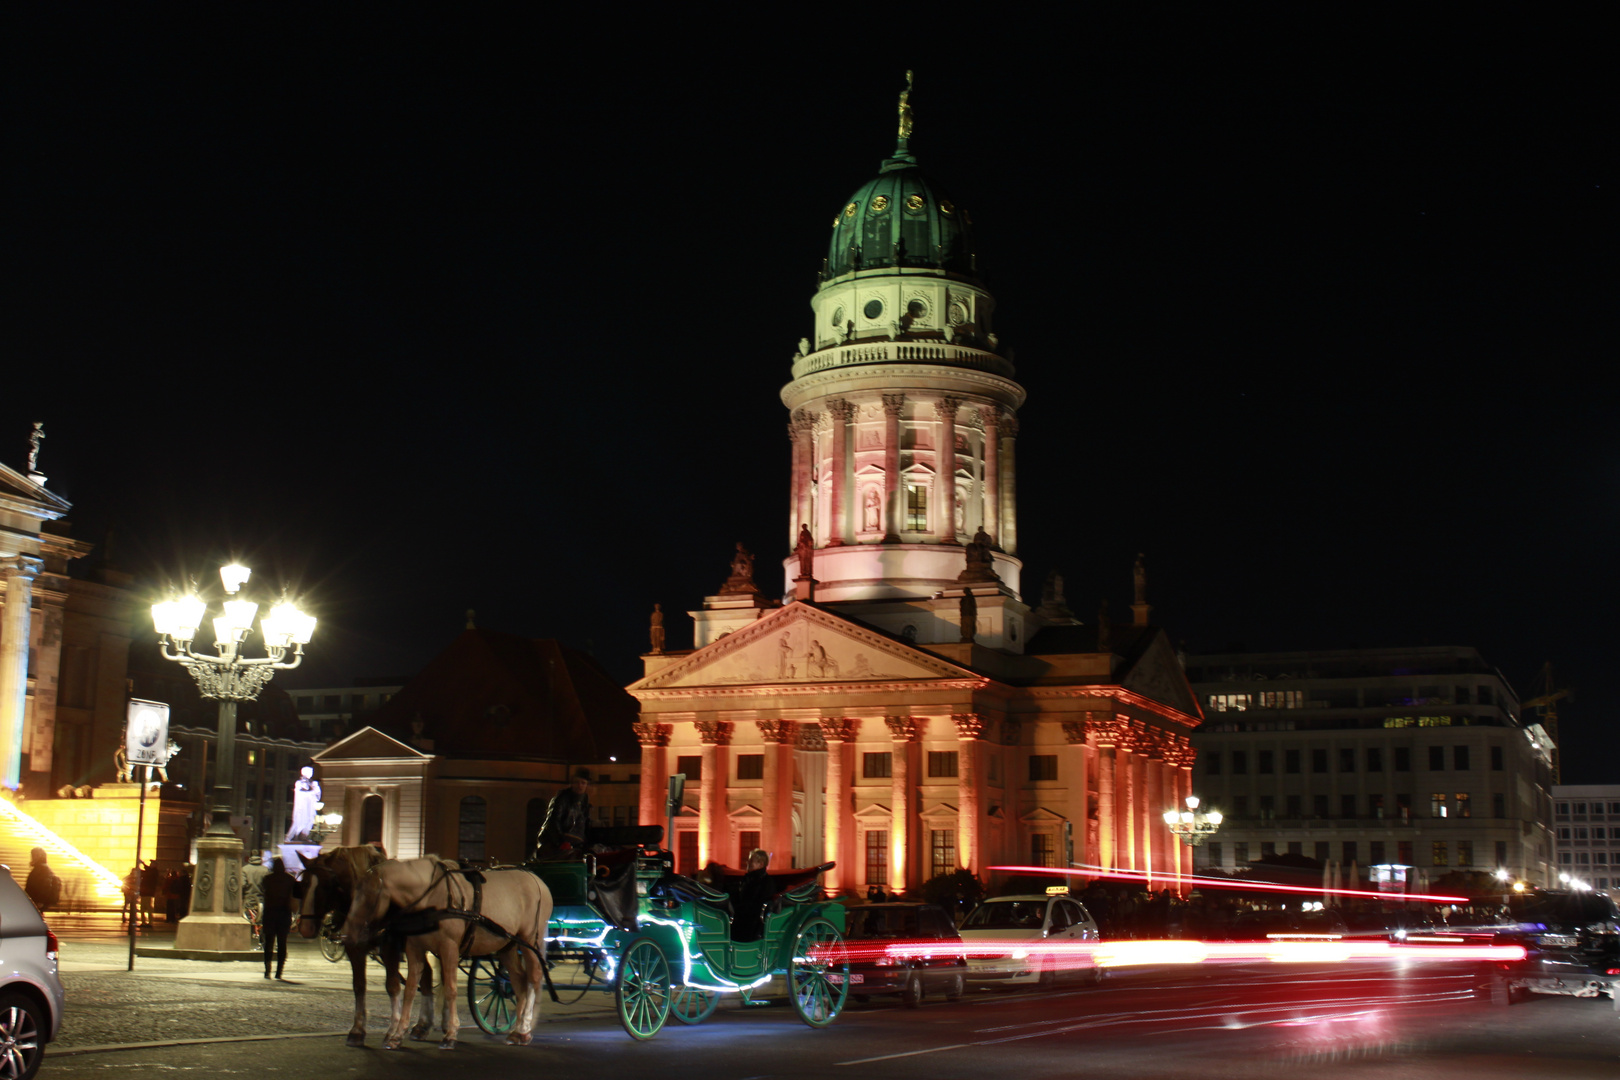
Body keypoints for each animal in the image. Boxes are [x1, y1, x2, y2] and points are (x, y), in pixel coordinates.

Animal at [294, 841, 427, 1049]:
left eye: (326, 885)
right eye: (304, 884)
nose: (306, 928)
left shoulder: (389, 948)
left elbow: (392, 986)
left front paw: (392, 1032)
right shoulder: (353, 947)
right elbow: (359, 986)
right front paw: (357, 1030)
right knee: (427, 977)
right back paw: (423, 1026)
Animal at [338, 854, 554, 1049]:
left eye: (369, 896)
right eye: (354, 893)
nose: (345, 936)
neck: (431, 899)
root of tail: (537, 881)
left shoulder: (449, 947)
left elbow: (450, 989)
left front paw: (450, 1034)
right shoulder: (414, 948)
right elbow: (410, 989)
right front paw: (397, 1035)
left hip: (530, 941)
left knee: (534, 978)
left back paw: (525, 1029)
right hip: (506, 946)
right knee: (519, 981)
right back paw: (517, 1031)